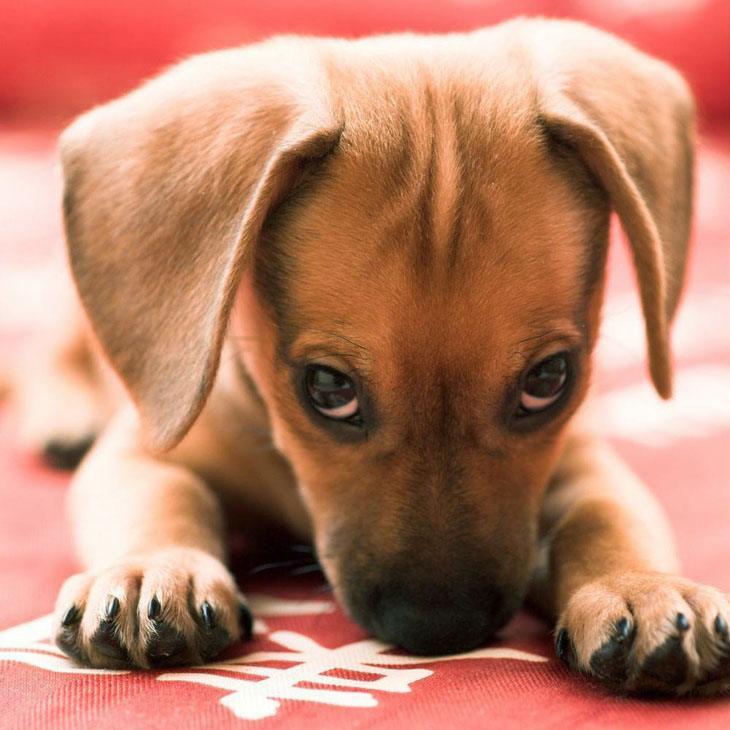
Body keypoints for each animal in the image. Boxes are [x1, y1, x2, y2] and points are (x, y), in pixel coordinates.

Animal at [12, 17, 728, 692]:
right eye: (328, 389)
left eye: (548, 379)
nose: (442, 629)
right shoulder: (145, 452)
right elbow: (161, 498)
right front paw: (152, 569)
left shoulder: (581, 457)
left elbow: (604, 518)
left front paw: (641, 585)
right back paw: (66, 414)